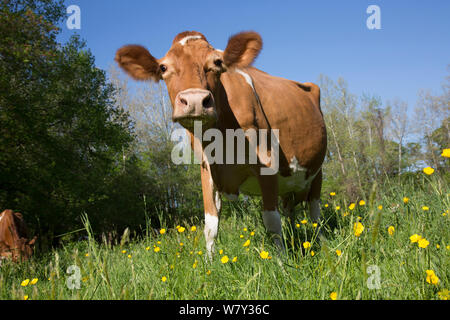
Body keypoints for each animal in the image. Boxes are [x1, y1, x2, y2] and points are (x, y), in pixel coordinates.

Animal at [115, 30, 326, 255]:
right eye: (163, 67)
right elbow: (210, 226)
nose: (195, 101)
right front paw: (209, 261)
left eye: (217, 62)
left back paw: (322, 244)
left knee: (315, 213)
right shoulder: (207, 169)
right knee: (290, 211)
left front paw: (282, 261)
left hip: (318, 171)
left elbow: (271, 221)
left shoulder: (267, 162)